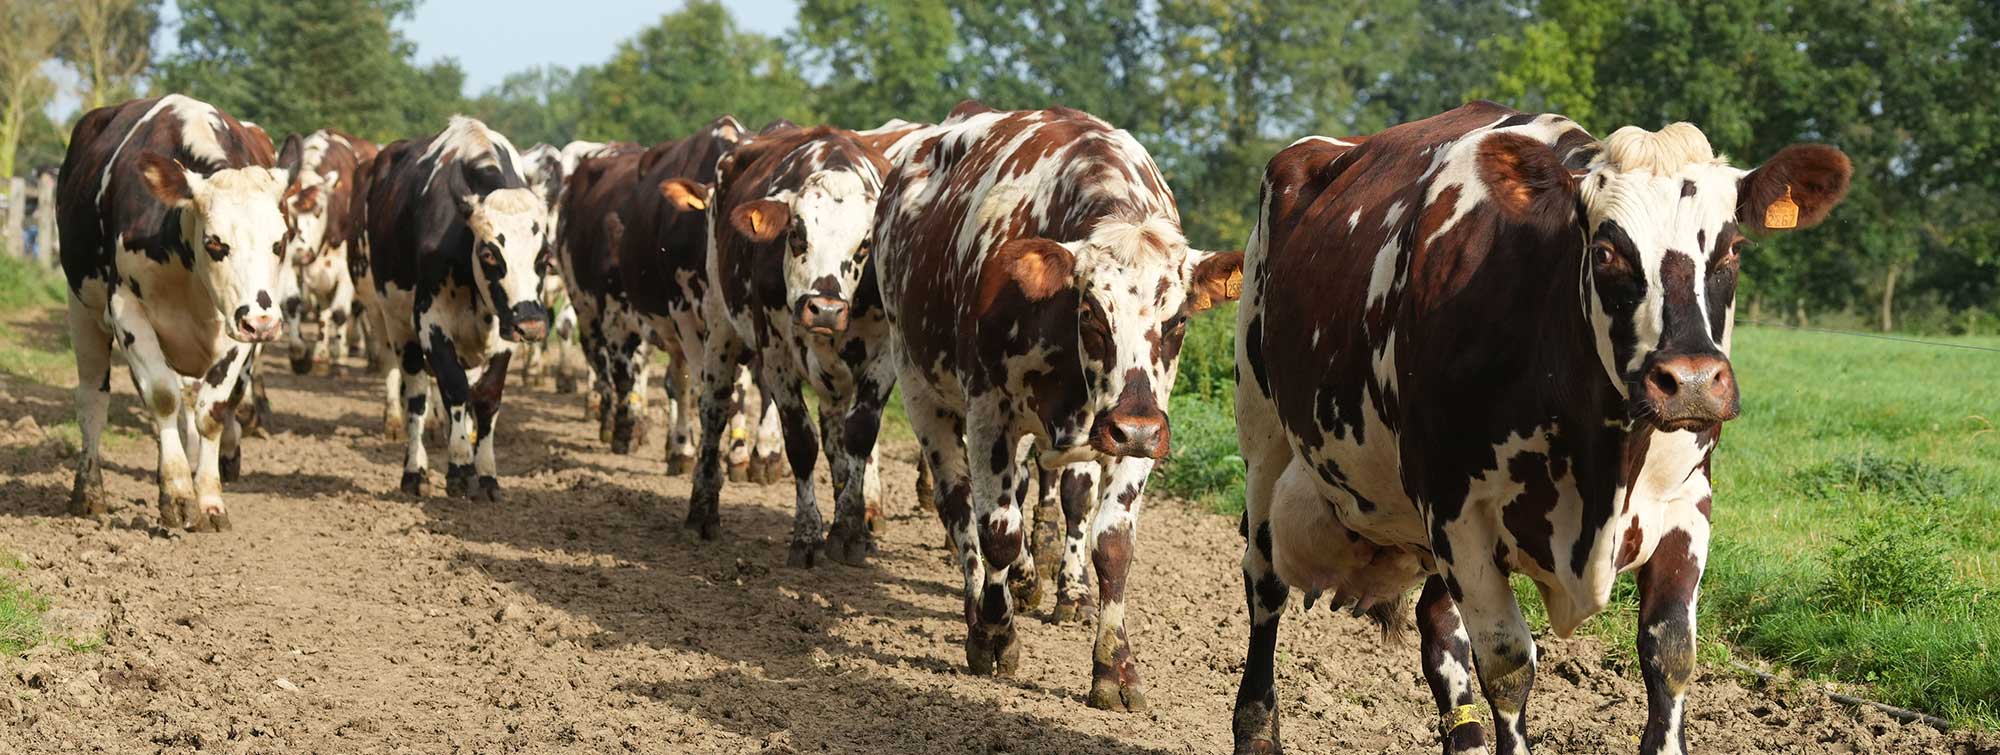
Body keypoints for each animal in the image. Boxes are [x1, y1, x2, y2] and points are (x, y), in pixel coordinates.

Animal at [55, 92, 292, 531]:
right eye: (215, 242)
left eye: (279, 241)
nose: (263, 323)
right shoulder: (126, 310)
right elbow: (162, 397)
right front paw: (179, 495)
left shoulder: (235, 329)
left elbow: (212, 411)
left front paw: (210, 500)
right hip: (82, 309)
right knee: (93, 401)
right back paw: (89, 492)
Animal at [364, 114, 552, 499]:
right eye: (489, 253)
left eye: (544, 255)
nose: (531, 324)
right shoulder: (430, 323)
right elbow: (452, 388)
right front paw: (460, 466)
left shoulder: (502, 333)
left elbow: (486, 398)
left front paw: (487, 474)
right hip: (398, 326)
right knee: (417, 396)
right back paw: (415, 470)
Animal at [880, 103, 1240, 711]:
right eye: (1091, 312)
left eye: (1178, 320)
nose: (1135, 428)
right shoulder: (990, 410)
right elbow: (998, 531)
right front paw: (995, 635)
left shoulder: (1133, 426)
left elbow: (1111, 543)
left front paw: (1114, 666)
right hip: (919, 387)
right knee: (960, 509)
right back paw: (981, 606)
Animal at [1224, 101, 1848, 755]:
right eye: (1607, 250)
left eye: (1732, 248)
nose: (1694, 380)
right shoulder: (1457, 514)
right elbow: (1508, 668)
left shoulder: (1686, 504)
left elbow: (1670, 654)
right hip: (1263, 437)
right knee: (1264, 585)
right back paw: (1255, 729)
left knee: (1438, 628)